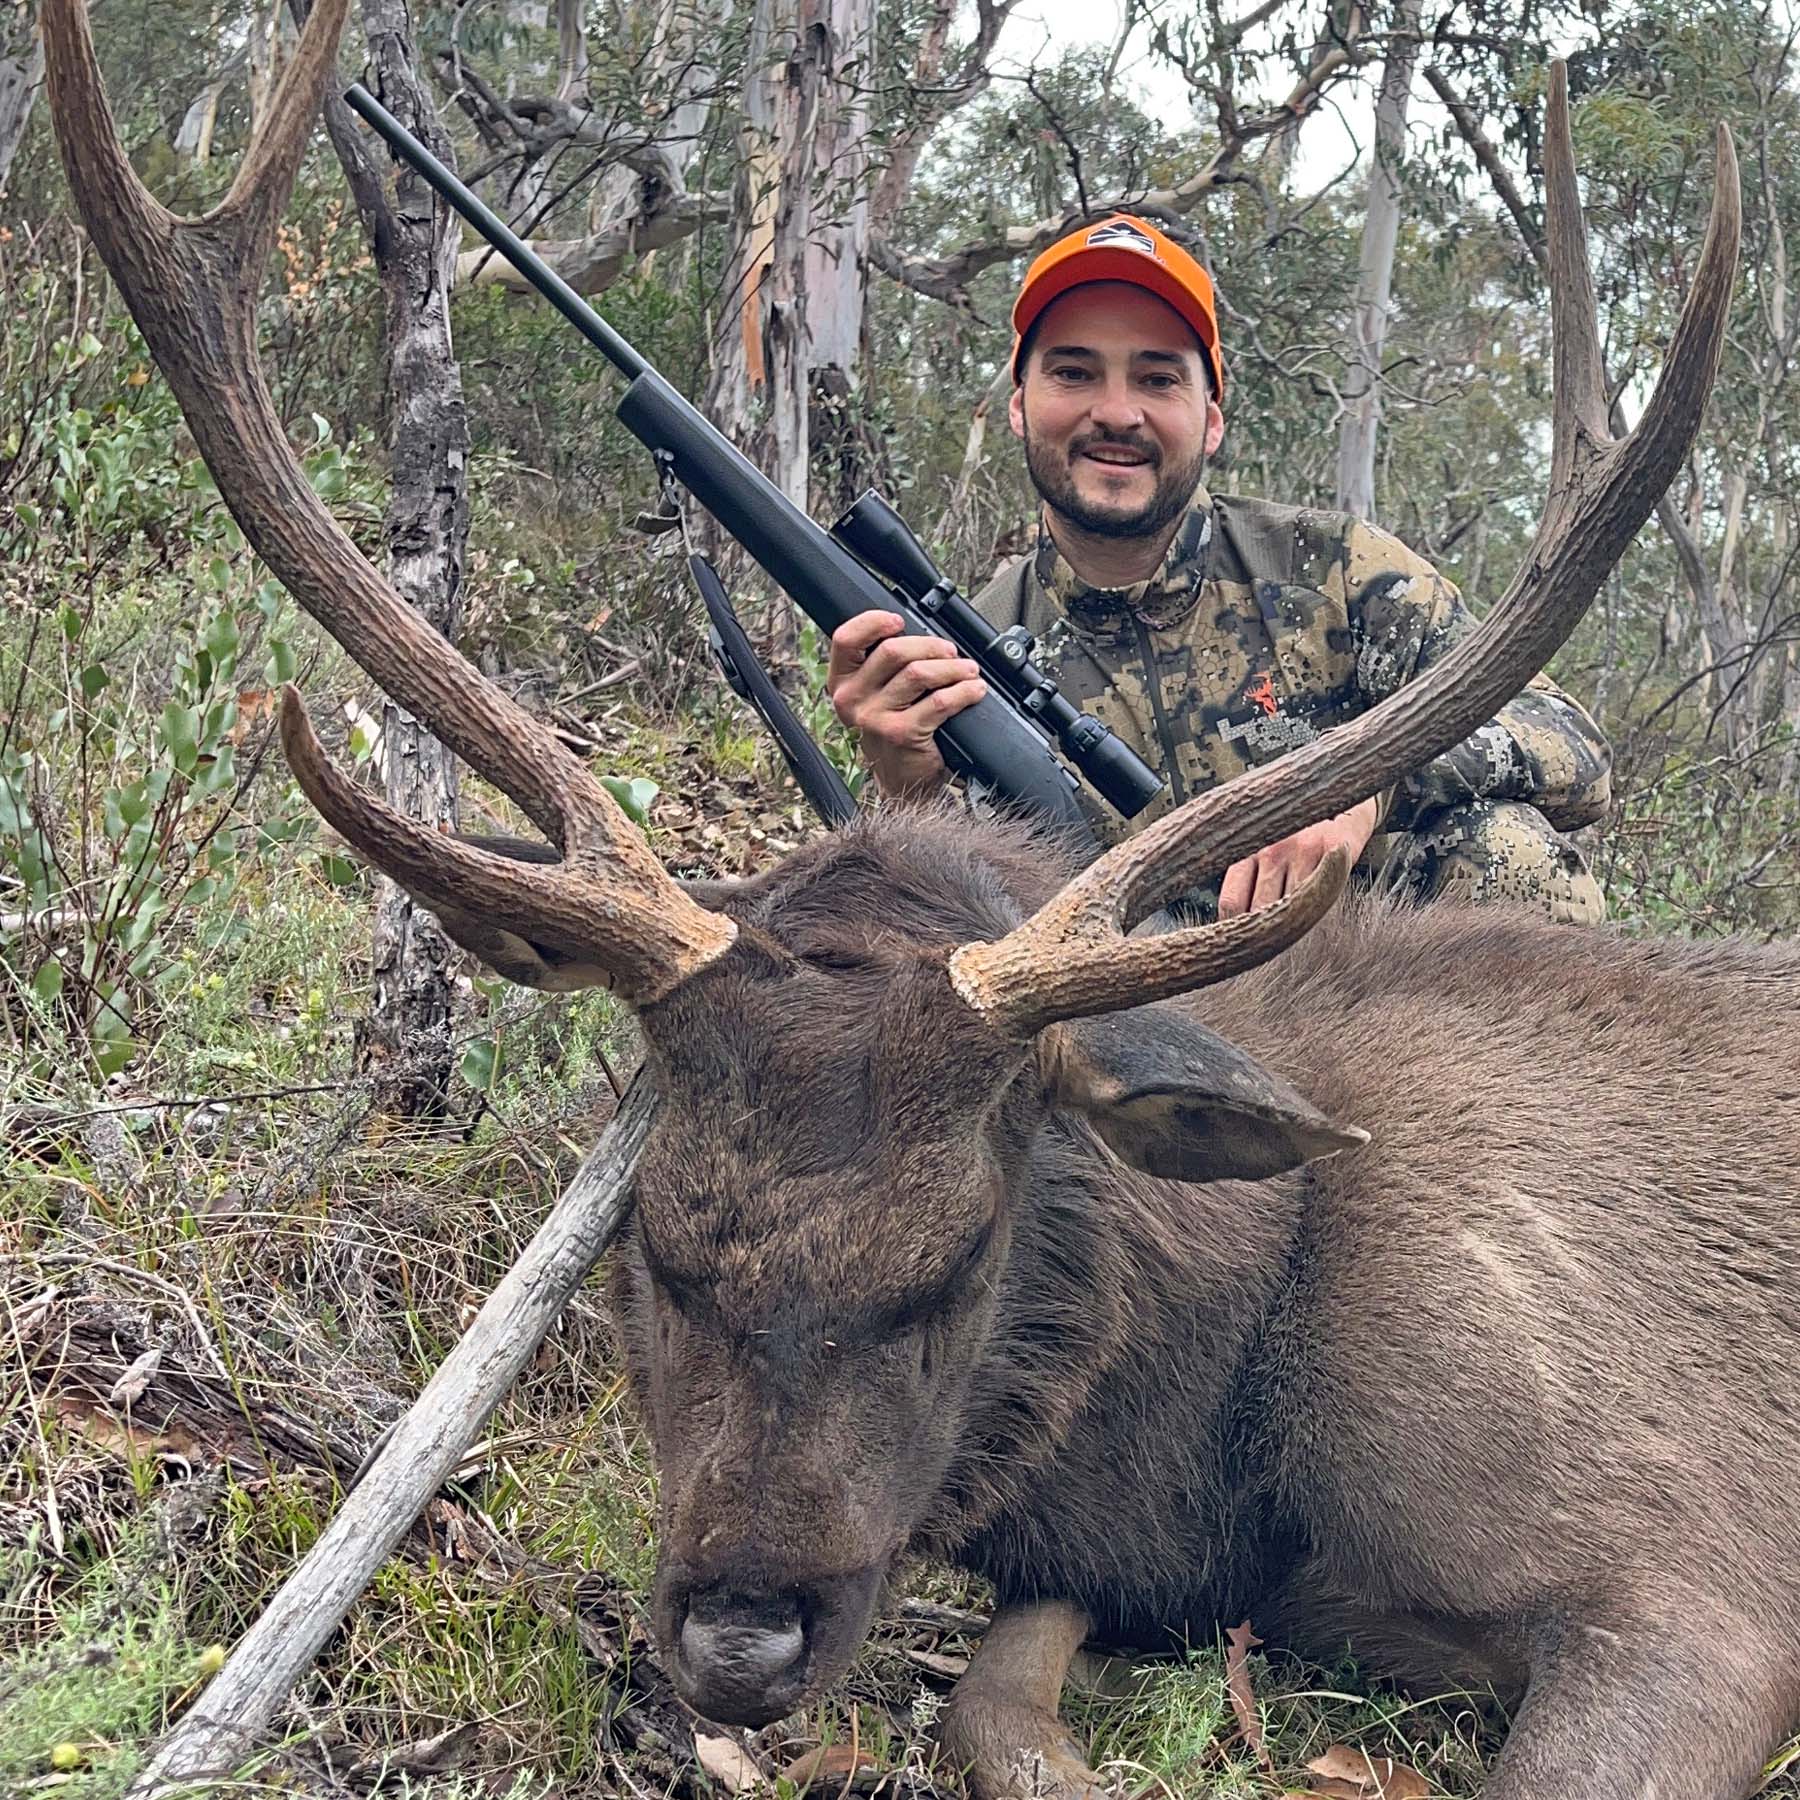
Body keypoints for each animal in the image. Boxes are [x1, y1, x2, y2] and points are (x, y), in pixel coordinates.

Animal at [45, 3, 1796, 1795]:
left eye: (957, 1261)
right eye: (656, 1247)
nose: (740, 1641)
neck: (1219, 1432)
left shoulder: (1694, 1572)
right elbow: (992, 1709)